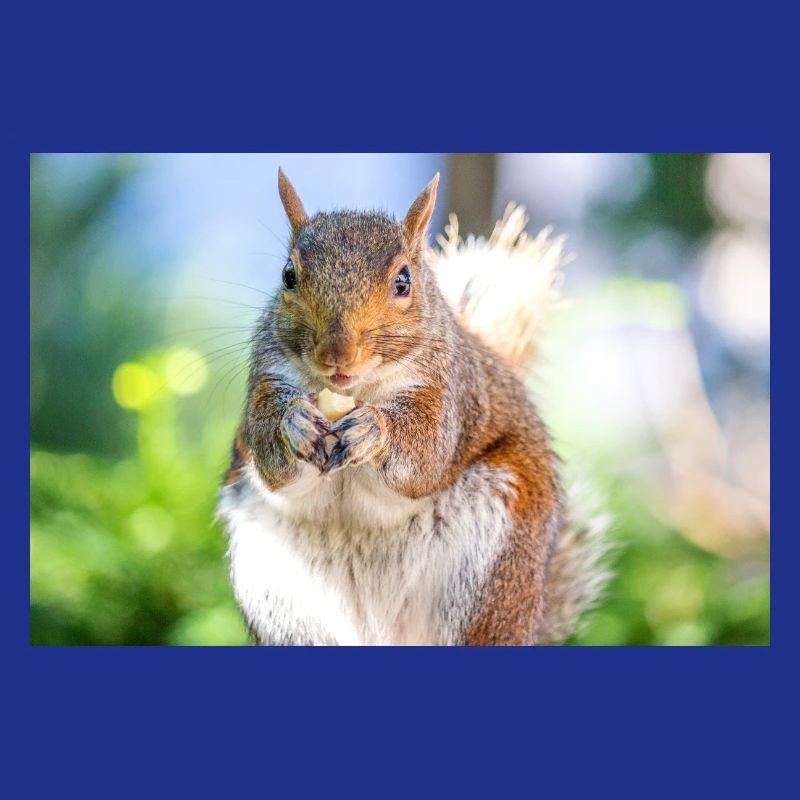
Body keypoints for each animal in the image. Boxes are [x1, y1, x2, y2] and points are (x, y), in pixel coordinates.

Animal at [217, 168, 610, 645]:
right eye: (288, 275)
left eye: (403, 281)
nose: (336, 355)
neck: (360, 390)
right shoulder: (267, 378)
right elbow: (271, 458)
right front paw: (294, 424)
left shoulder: (449, 393)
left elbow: (425, 456)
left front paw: (374, 429)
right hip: (283, 598)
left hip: (493, 575)